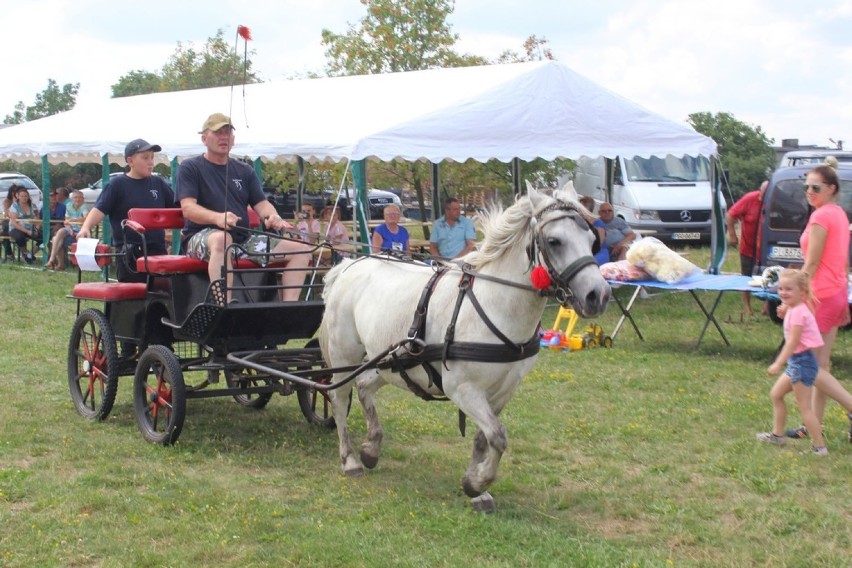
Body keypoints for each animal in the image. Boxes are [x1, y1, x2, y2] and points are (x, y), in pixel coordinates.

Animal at [318, 184, 604, 512]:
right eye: (555, 241)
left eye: (592, 240)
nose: (599, 295)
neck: (495, 303)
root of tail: (347, 265)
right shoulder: (463, 389)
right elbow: (498, 436)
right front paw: (476, 483)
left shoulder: (503, 389)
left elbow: (484, 437)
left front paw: (477, 489)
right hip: (346, 354)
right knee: (339, 399)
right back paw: (350, 459)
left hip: (390, 361)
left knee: (365, 387)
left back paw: (371, 448)